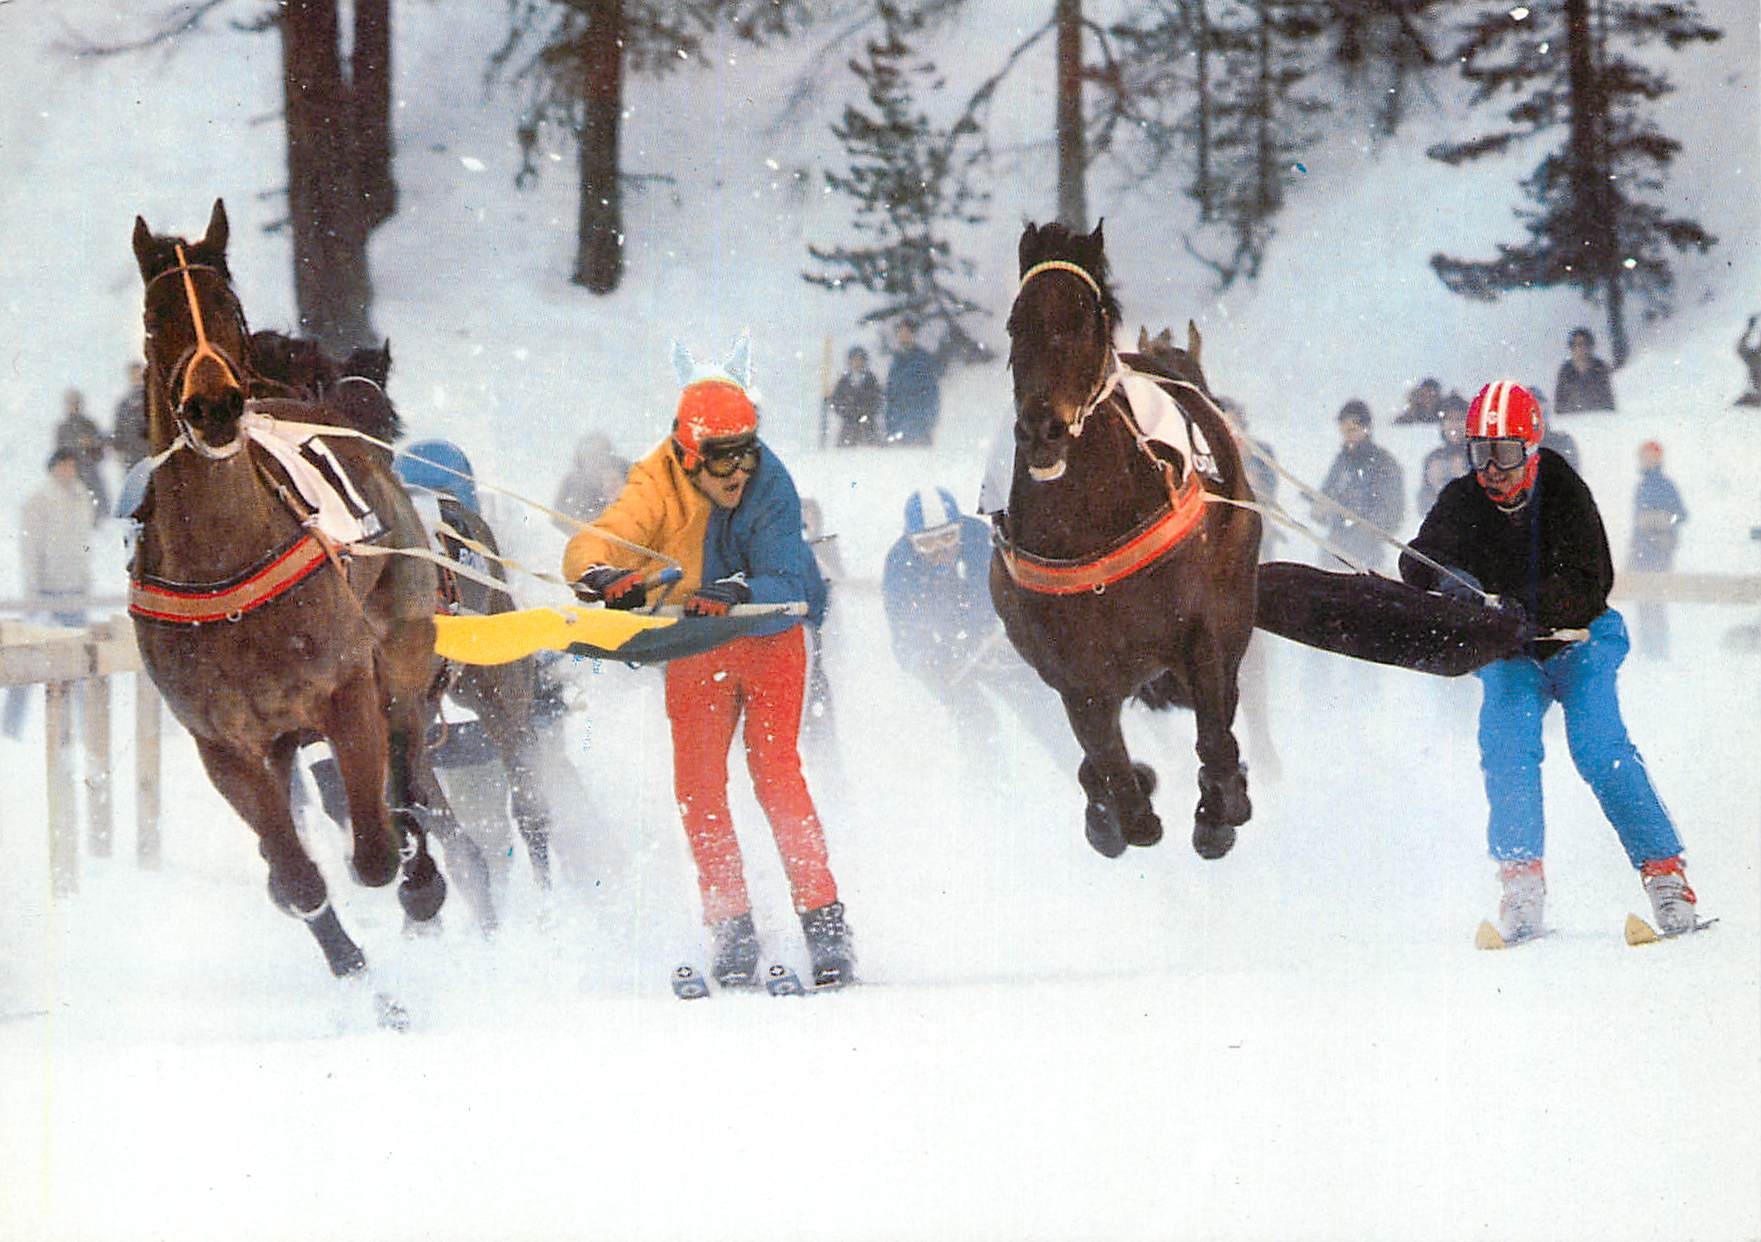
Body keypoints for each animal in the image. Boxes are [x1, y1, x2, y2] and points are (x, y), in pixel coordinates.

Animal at [129, 198, 467, 983]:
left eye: (229, 306)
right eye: (156, 317)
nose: (214, 406)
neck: (221, 565)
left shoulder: (345, 690)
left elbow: (375, 852)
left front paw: (411, 876)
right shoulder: (224, 743)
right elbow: (293, 878)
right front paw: (349, 962)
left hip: (403, 650)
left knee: (407, 758)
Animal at [991, 220, 1261, 860]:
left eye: (1090, 318)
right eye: (1016, 323)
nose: (1042, 430)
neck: (1091, 530)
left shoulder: (1201, 629)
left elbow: (1216, 738)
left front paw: (1220, 811)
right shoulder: (1075, 676)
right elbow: (1111, 773)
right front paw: (1118, 815)